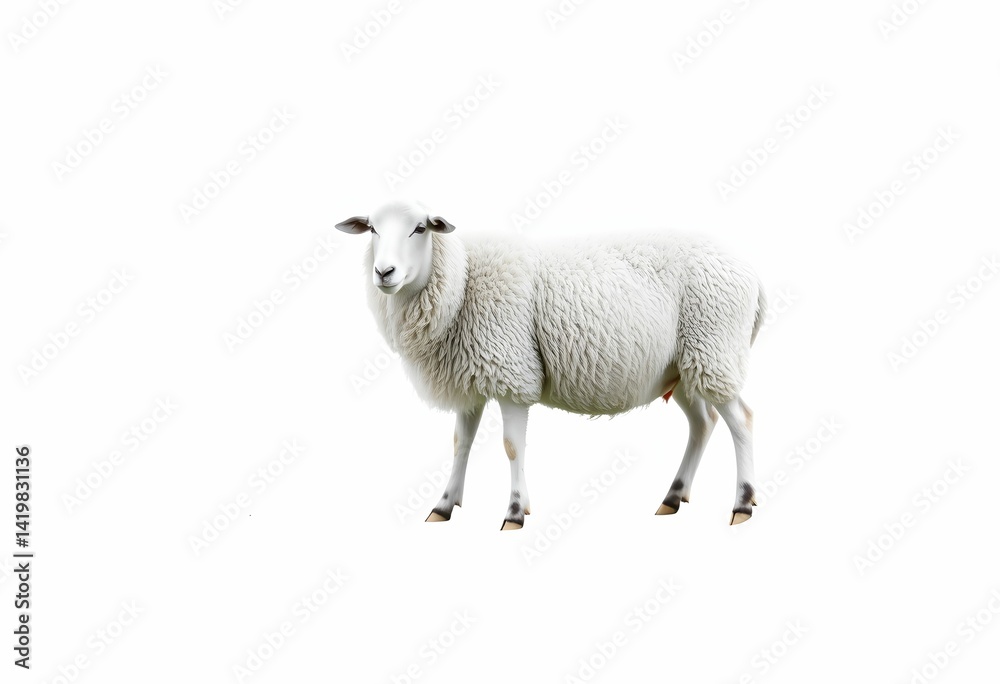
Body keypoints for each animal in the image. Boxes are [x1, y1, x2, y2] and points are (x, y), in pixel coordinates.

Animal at [337, 200, 767, 530]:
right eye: (372, 229)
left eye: (420, 228)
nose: (384, 273)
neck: (462, 282)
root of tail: (751, 275)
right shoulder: (471, 376)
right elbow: (461, 444)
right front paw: (443, 506)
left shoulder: (512, 373)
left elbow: (511, 447)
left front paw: (514, 513)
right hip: (684, 367)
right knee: (703, 423)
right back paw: (673, 497)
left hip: (714, 351)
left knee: (742, 421)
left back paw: (742, 504)